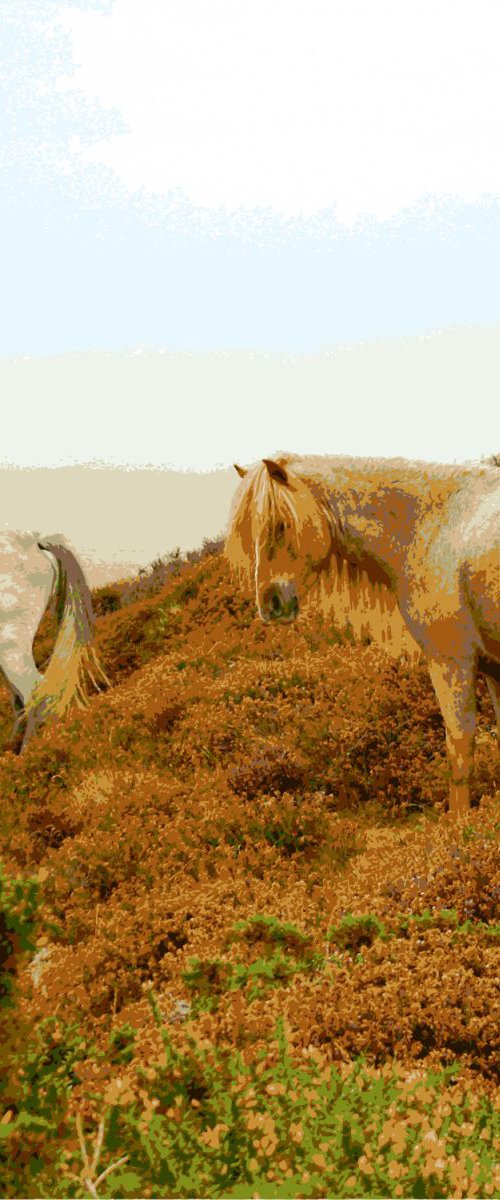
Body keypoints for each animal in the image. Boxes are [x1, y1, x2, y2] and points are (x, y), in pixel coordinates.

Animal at [225, 451, 498, 816]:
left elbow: (459, 747)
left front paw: (460, 823)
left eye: (280, 524)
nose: (269, 604)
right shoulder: (493, 668)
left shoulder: (451, 662)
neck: (435, 526)